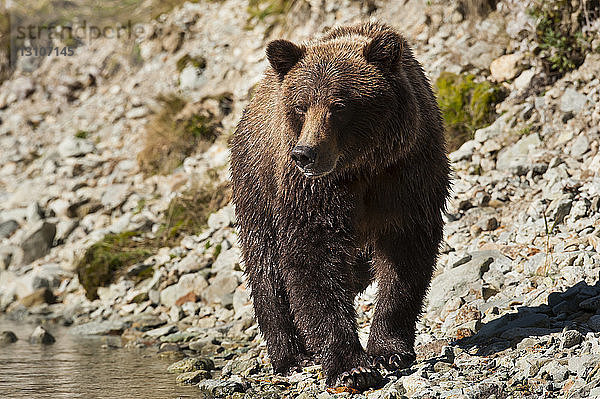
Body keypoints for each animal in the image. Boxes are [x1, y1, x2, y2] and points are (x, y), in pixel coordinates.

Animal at [230, 21, 450, 390]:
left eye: (339, 105)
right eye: (301, 106)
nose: (305, 153)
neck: (361, 166)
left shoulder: (408, 172)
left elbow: (405, 258)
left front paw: (389, 350)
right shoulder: (312, 191)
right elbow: (312, 259)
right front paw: (352, 366)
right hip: (256, 187)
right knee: (266, 269)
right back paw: (289, 354)